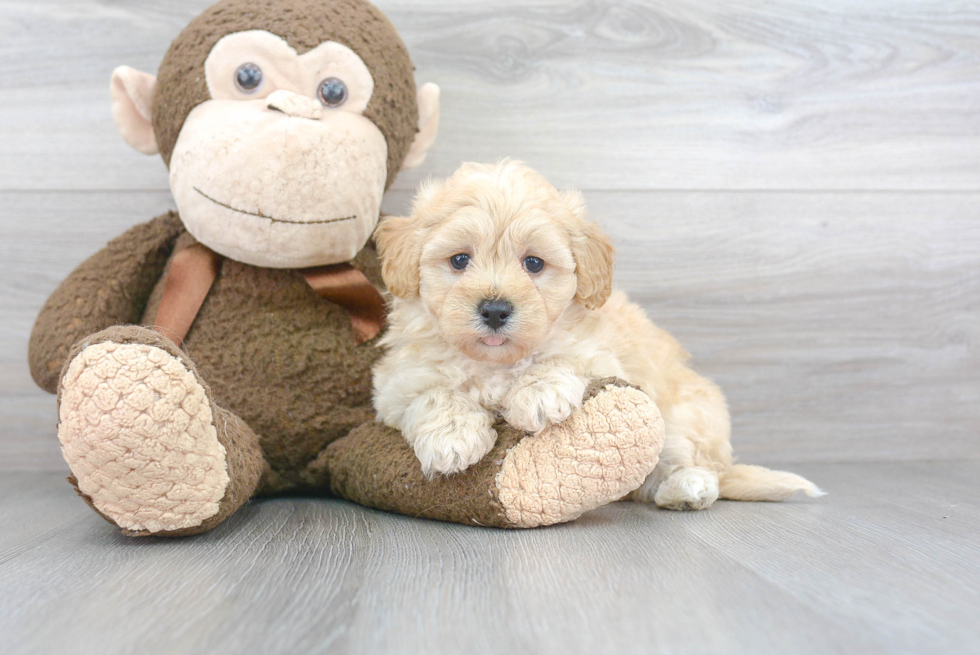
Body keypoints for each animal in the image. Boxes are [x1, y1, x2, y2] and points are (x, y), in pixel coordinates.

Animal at [372, 161, 824, 510]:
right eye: (459, 260)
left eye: (533, 263)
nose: (495, 310)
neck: (496, 363)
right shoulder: (396, 384)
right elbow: (434, 394)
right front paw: (453, 437)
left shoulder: (600, 355)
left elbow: (560, 359)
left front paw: (539, 392)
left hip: (684, 417)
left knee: (687, 463)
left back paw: (687, 487)